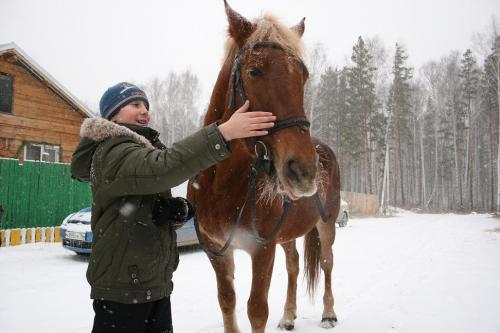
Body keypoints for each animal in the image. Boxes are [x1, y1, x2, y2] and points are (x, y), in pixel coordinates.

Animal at [186, 3, 342, 332]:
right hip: (288, 234)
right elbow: (227, 302)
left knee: (327, 262)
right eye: (254, 72)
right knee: (294, 265)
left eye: (303, 75)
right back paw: (288, 316)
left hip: (327, 224)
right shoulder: (217, 251)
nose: (304, 170)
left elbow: (256, 310)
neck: (221, 185)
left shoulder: (262, 249)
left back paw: (328, 313)